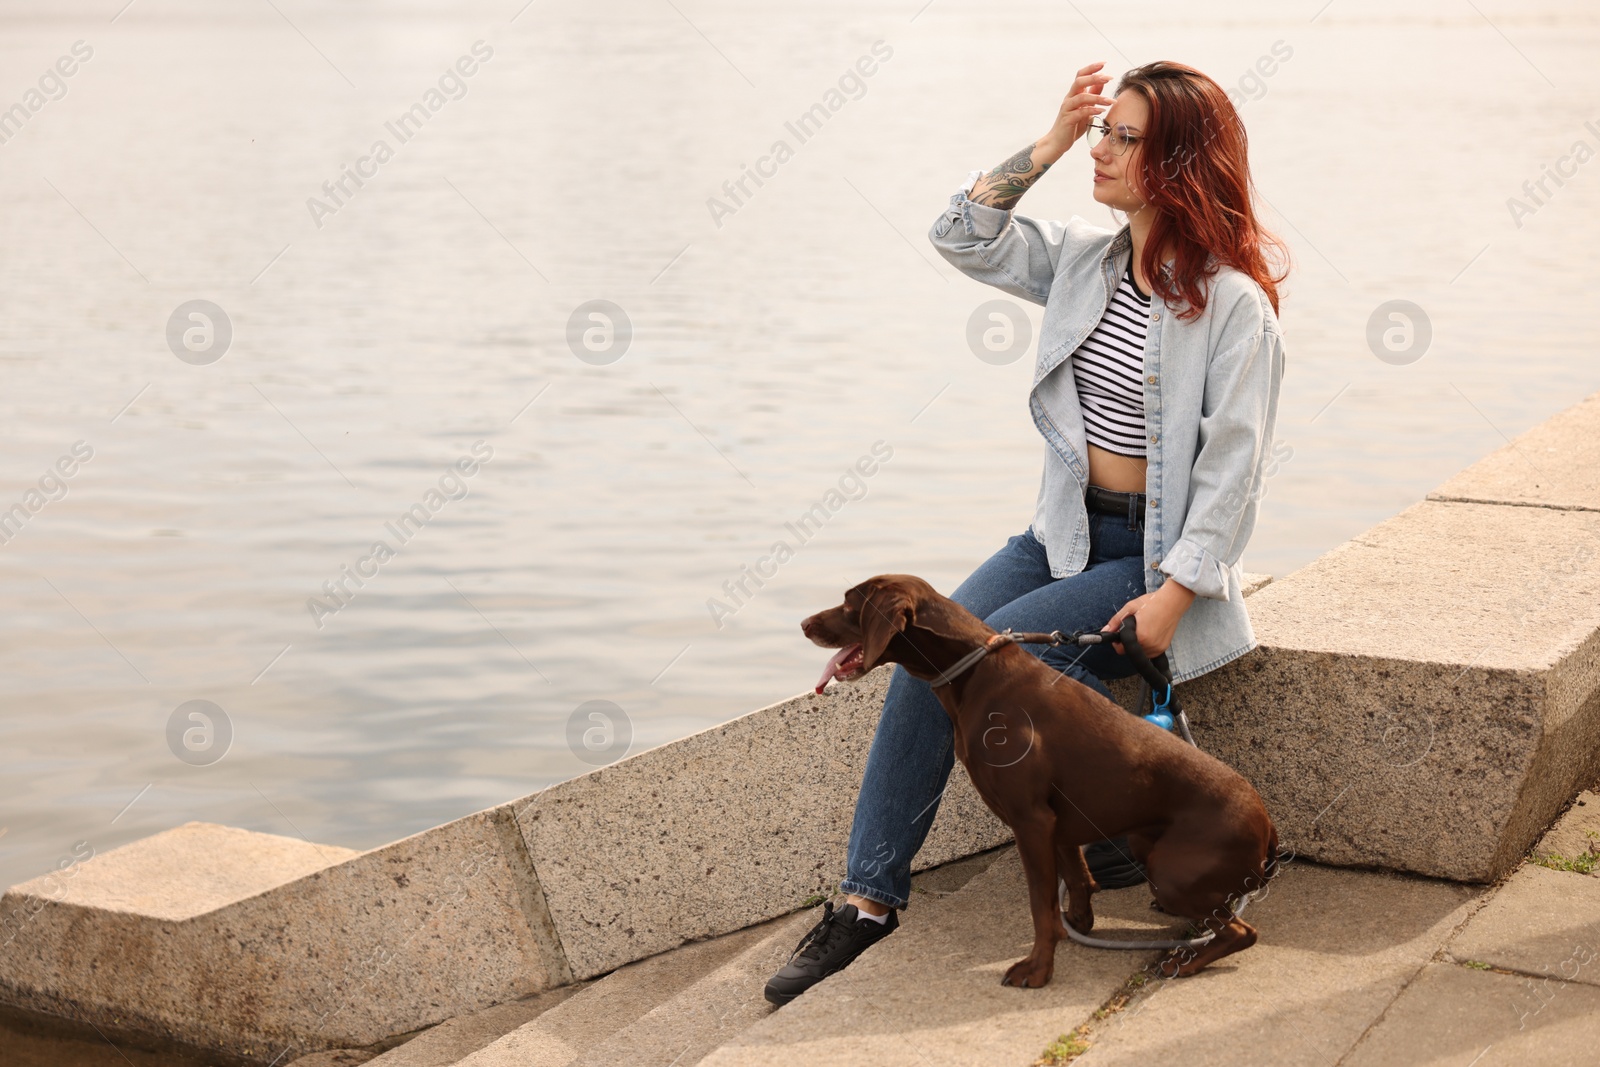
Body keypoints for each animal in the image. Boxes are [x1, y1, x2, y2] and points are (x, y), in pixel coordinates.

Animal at [806, 575, 1280, 985]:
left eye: (849, 604)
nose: (805, 624)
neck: (975, 674)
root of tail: (1267, 824)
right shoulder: (1060, 825)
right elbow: (1077, 884)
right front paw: (1078, 925)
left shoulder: (1031, 822)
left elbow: (1040, 907)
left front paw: (1037, 971)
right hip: (1148, 844)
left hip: (1171, 871)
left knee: (1242, 932)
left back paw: (1185, 961)